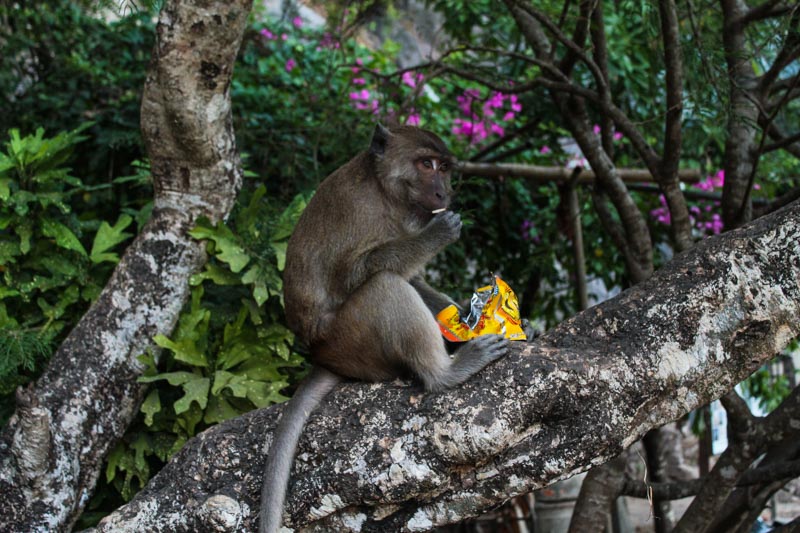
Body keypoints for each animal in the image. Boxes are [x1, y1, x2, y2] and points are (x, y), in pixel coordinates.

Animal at [258, 122, 506, 528]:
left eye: (444, 167)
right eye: (426, 164)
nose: (445, 191)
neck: (384, 191)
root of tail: (323, 356)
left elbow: (415, 278)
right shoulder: (358, 211)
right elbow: (355, 274)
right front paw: (437, 234)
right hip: (352, 340)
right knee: (384, 286)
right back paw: (445, 373)